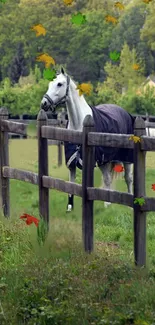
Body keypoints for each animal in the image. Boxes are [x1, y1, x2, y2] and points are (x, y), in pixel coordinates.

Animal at [40, 67, 133, 211]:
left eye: (59, 84)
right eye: (50, 84)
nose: (44, 103)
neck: (79, 124)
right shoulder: (71, 162)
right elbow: (71, 184)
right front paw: (70, 207)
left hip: (126, 158)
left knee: (128, 178)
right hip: (104, 161)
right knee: (107, 179)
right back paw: (107, 204)